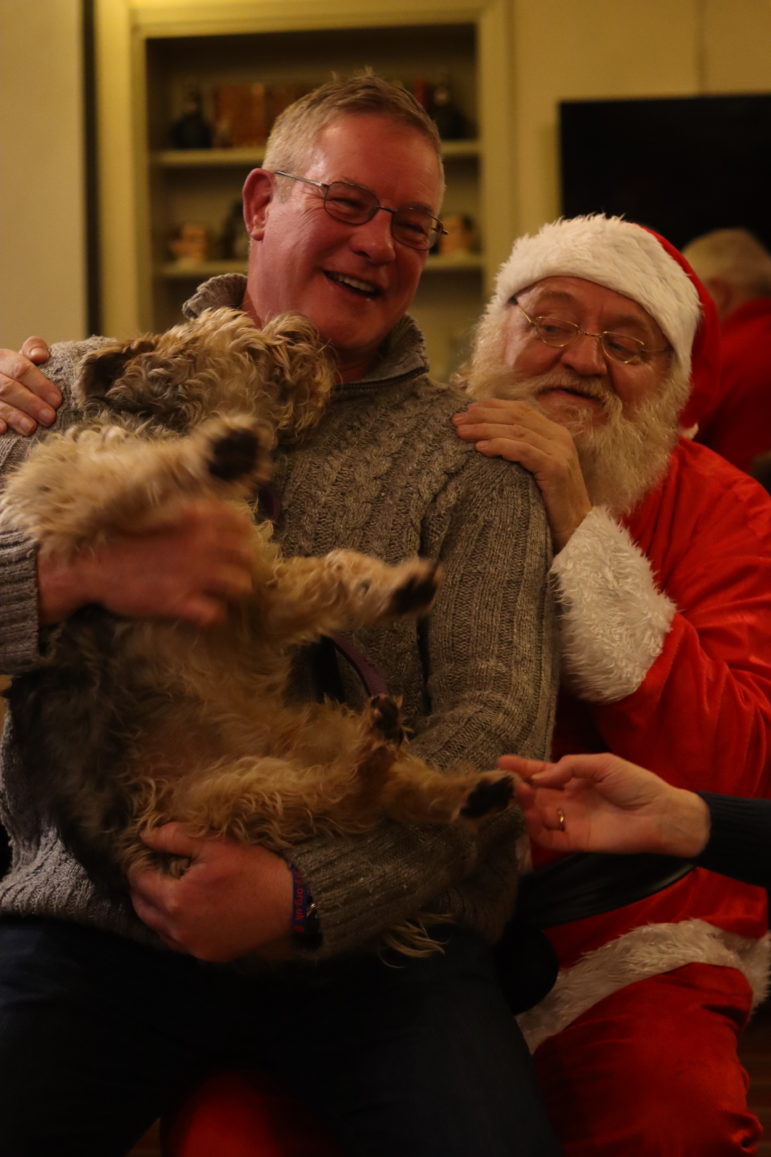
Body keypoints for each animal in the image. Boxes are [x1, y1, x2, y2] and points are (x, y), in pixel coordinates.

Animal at [1, 307, 509, 948]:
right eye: (249, 343)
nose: (302, 331)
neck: (164, 419)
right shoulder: (65, 507)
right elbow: (135, 476)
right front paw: (212, 454)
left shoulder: (257, 604)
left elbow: (333, 576)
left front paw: (392, 587)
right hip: (218, 801)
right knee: (347, 798)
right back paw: (395, 766)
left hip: (293, 754)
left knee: (376, 794)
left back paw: (460, 787)